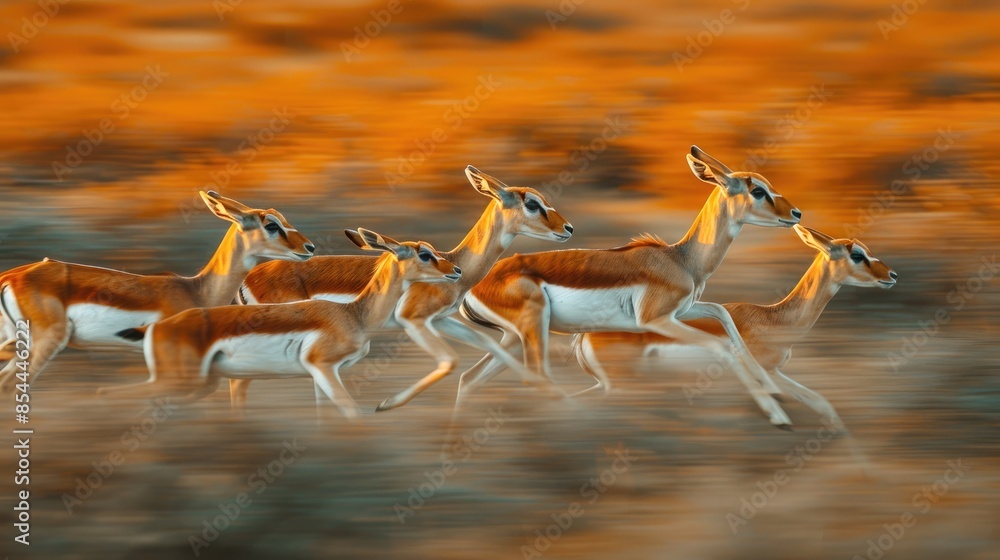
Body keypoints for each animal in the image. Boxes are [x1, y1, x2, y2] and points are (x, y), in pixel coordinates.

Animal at [106, 229, 461, 418]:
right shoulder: (322, 366)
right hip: (181, 381)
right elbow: (351, 412)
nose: (455, 271)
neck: (353, 314)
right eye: (424, 254)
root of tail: (157, 328)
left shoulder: (322, 372)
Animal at [230, 165, 573, 412]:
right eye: (532, 203)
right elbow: (449, 361)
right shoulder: (414, 320)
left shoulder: (441, 320)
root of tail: (248, 279)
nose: (568, 228)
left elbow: (488, 347)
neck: (456, 263)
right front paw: (385, 404)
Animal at [403, 146, 804, 429]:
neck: (681, 259)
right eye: (757, 190)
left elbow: (725, 317)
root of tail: (471, 279)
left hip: (513, 338)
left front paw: (775, 391)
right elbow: (721, 343)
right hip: (532, 330)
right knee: (539, 379)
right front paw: (778, 415)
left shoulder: (685, 309)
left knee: (470, 380)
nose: (796, 213)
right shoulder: (656, 320)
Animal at [573, 225, 897, 432]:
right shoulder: (767, 371)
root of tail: (583, 335)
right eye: (856, 254)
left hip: (606, 384)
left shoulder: (775, 371)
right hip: (620, 385)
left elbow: (824, 404)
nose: (891, 275)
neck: (774, 320)